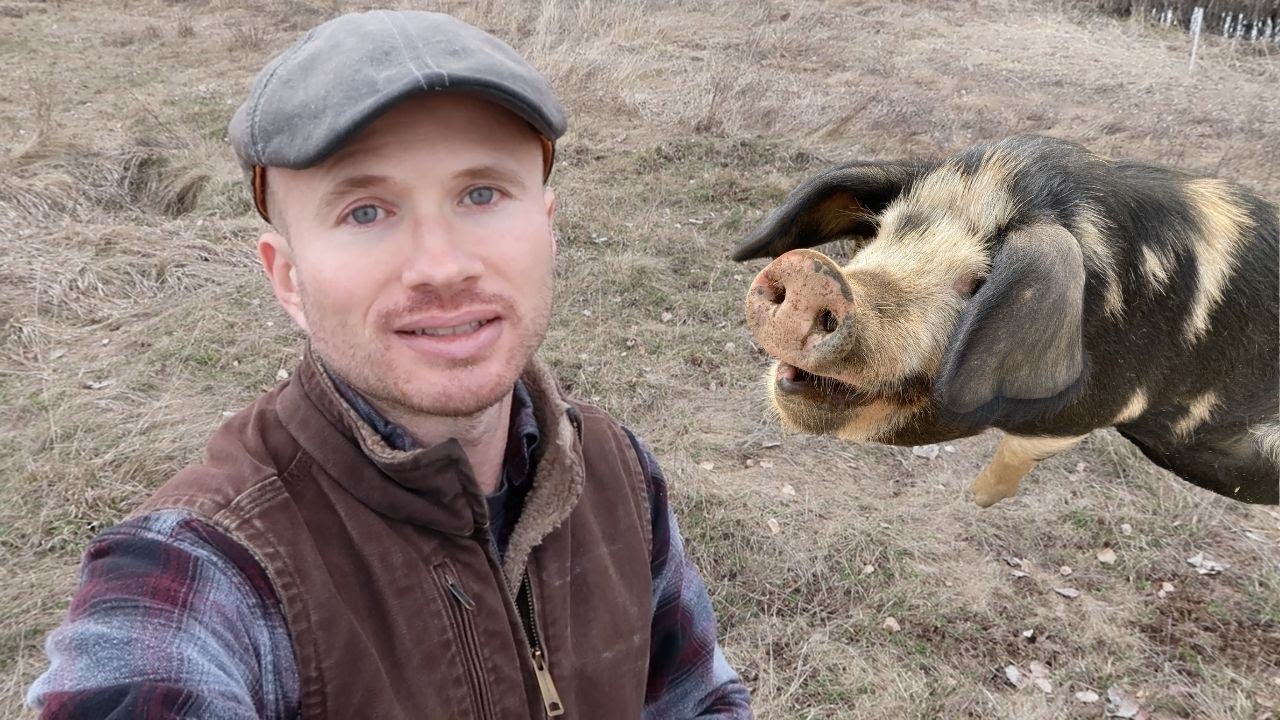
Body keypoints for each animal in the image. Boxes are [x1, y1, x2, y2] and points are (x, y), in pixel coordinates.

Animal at [732, 135, 1278, 506]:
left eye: (978, 283)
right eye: (881, 234)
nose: (811, 274)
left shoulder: (1091, 409)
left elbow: (1022, 449)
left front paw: (976, 499)